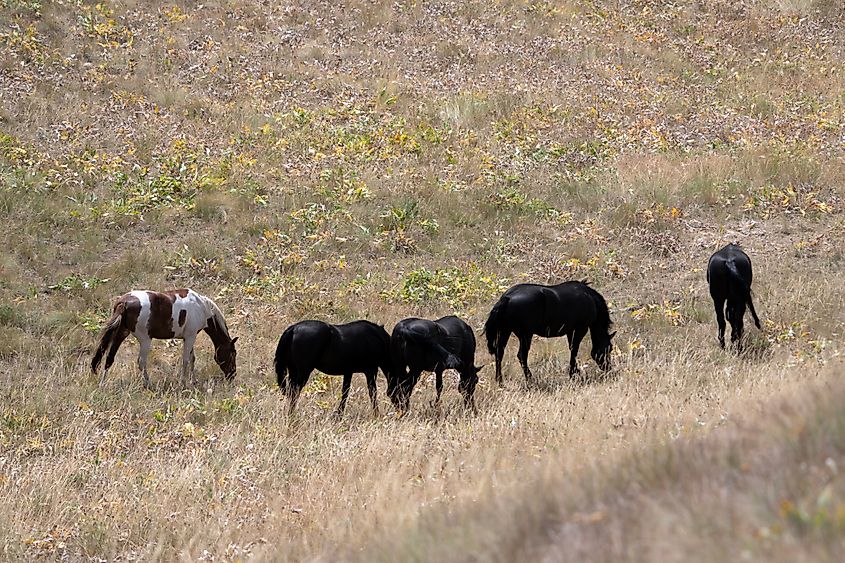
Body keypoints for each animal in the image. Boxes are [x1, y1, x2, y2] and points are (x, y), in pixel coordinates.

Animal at [91, 289, 238, 388]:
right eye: (233, 353)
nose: (232, 375)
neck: (201, 306)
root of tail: (124, 302)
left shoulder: (188, 337)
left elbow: (192, 359)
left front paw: (193, 381)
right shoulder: (190, 336)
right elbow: (186, 360)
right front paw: (183, 383)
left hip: (121, 333)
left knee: (109, 358)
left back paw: (102, 383)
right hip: (145, 340)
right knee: (141, 362)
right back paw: (149, 384)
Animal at [484, 280, 615, 384]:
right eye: (609, 348)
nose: (608, 368)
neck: (589, 298)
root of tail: (507, 298)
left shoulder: (570, 331)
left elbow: (572, 349)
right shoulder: (580, 329)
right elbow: (574, 350)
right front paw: (573, 374)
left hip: (505, 331)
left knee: (499, 353)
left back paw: (500, 381)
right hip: (525, 335)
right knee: (521, 355)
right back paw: (530, 379)